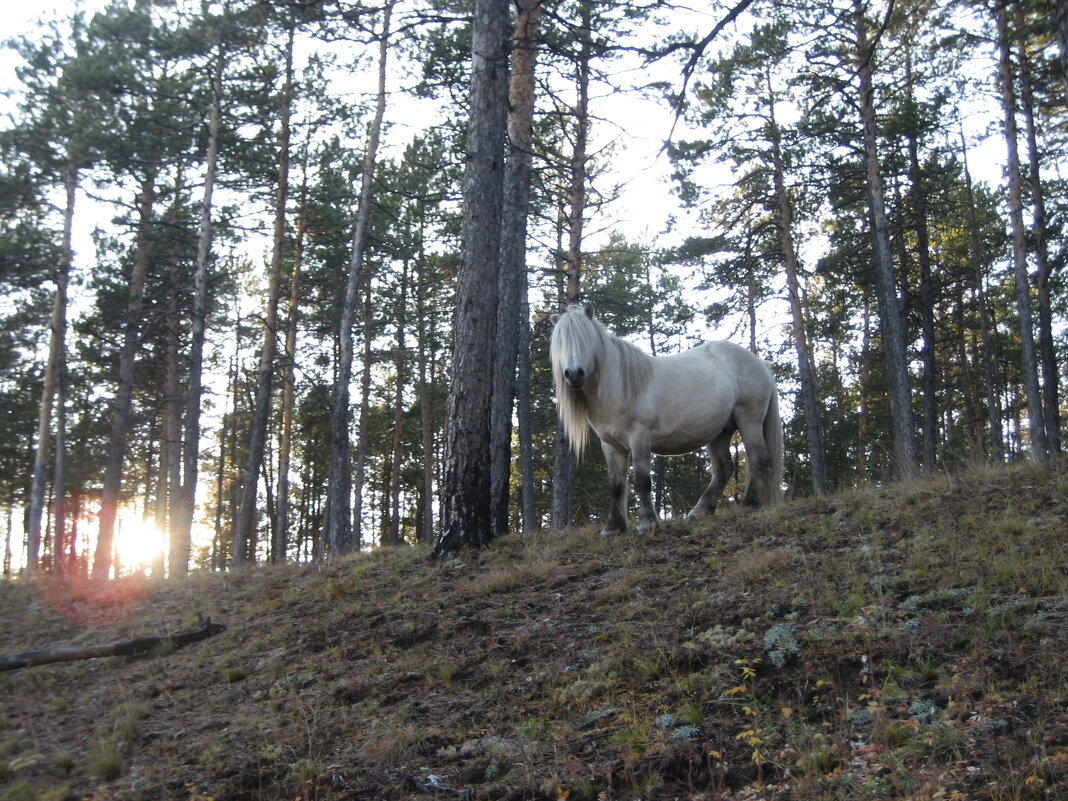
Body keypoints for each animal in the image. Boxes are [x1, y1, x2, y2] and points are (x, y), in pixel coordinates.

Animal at [551, 303, 786, 536]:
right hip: (720, 432)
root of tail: (760, 363)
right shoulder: (610, 444)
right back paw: (701, 511)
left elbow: (642, 480)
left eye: (585, 339)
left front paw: (647, 524)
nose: (574, 374)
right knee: (723, 469)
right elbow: (616, 485)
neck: (620, 384)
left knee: (758, 457)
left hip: (750, 421)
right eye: (560, 343)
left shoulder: (639, 436)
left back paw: (749, 503)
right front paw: (614, 528)